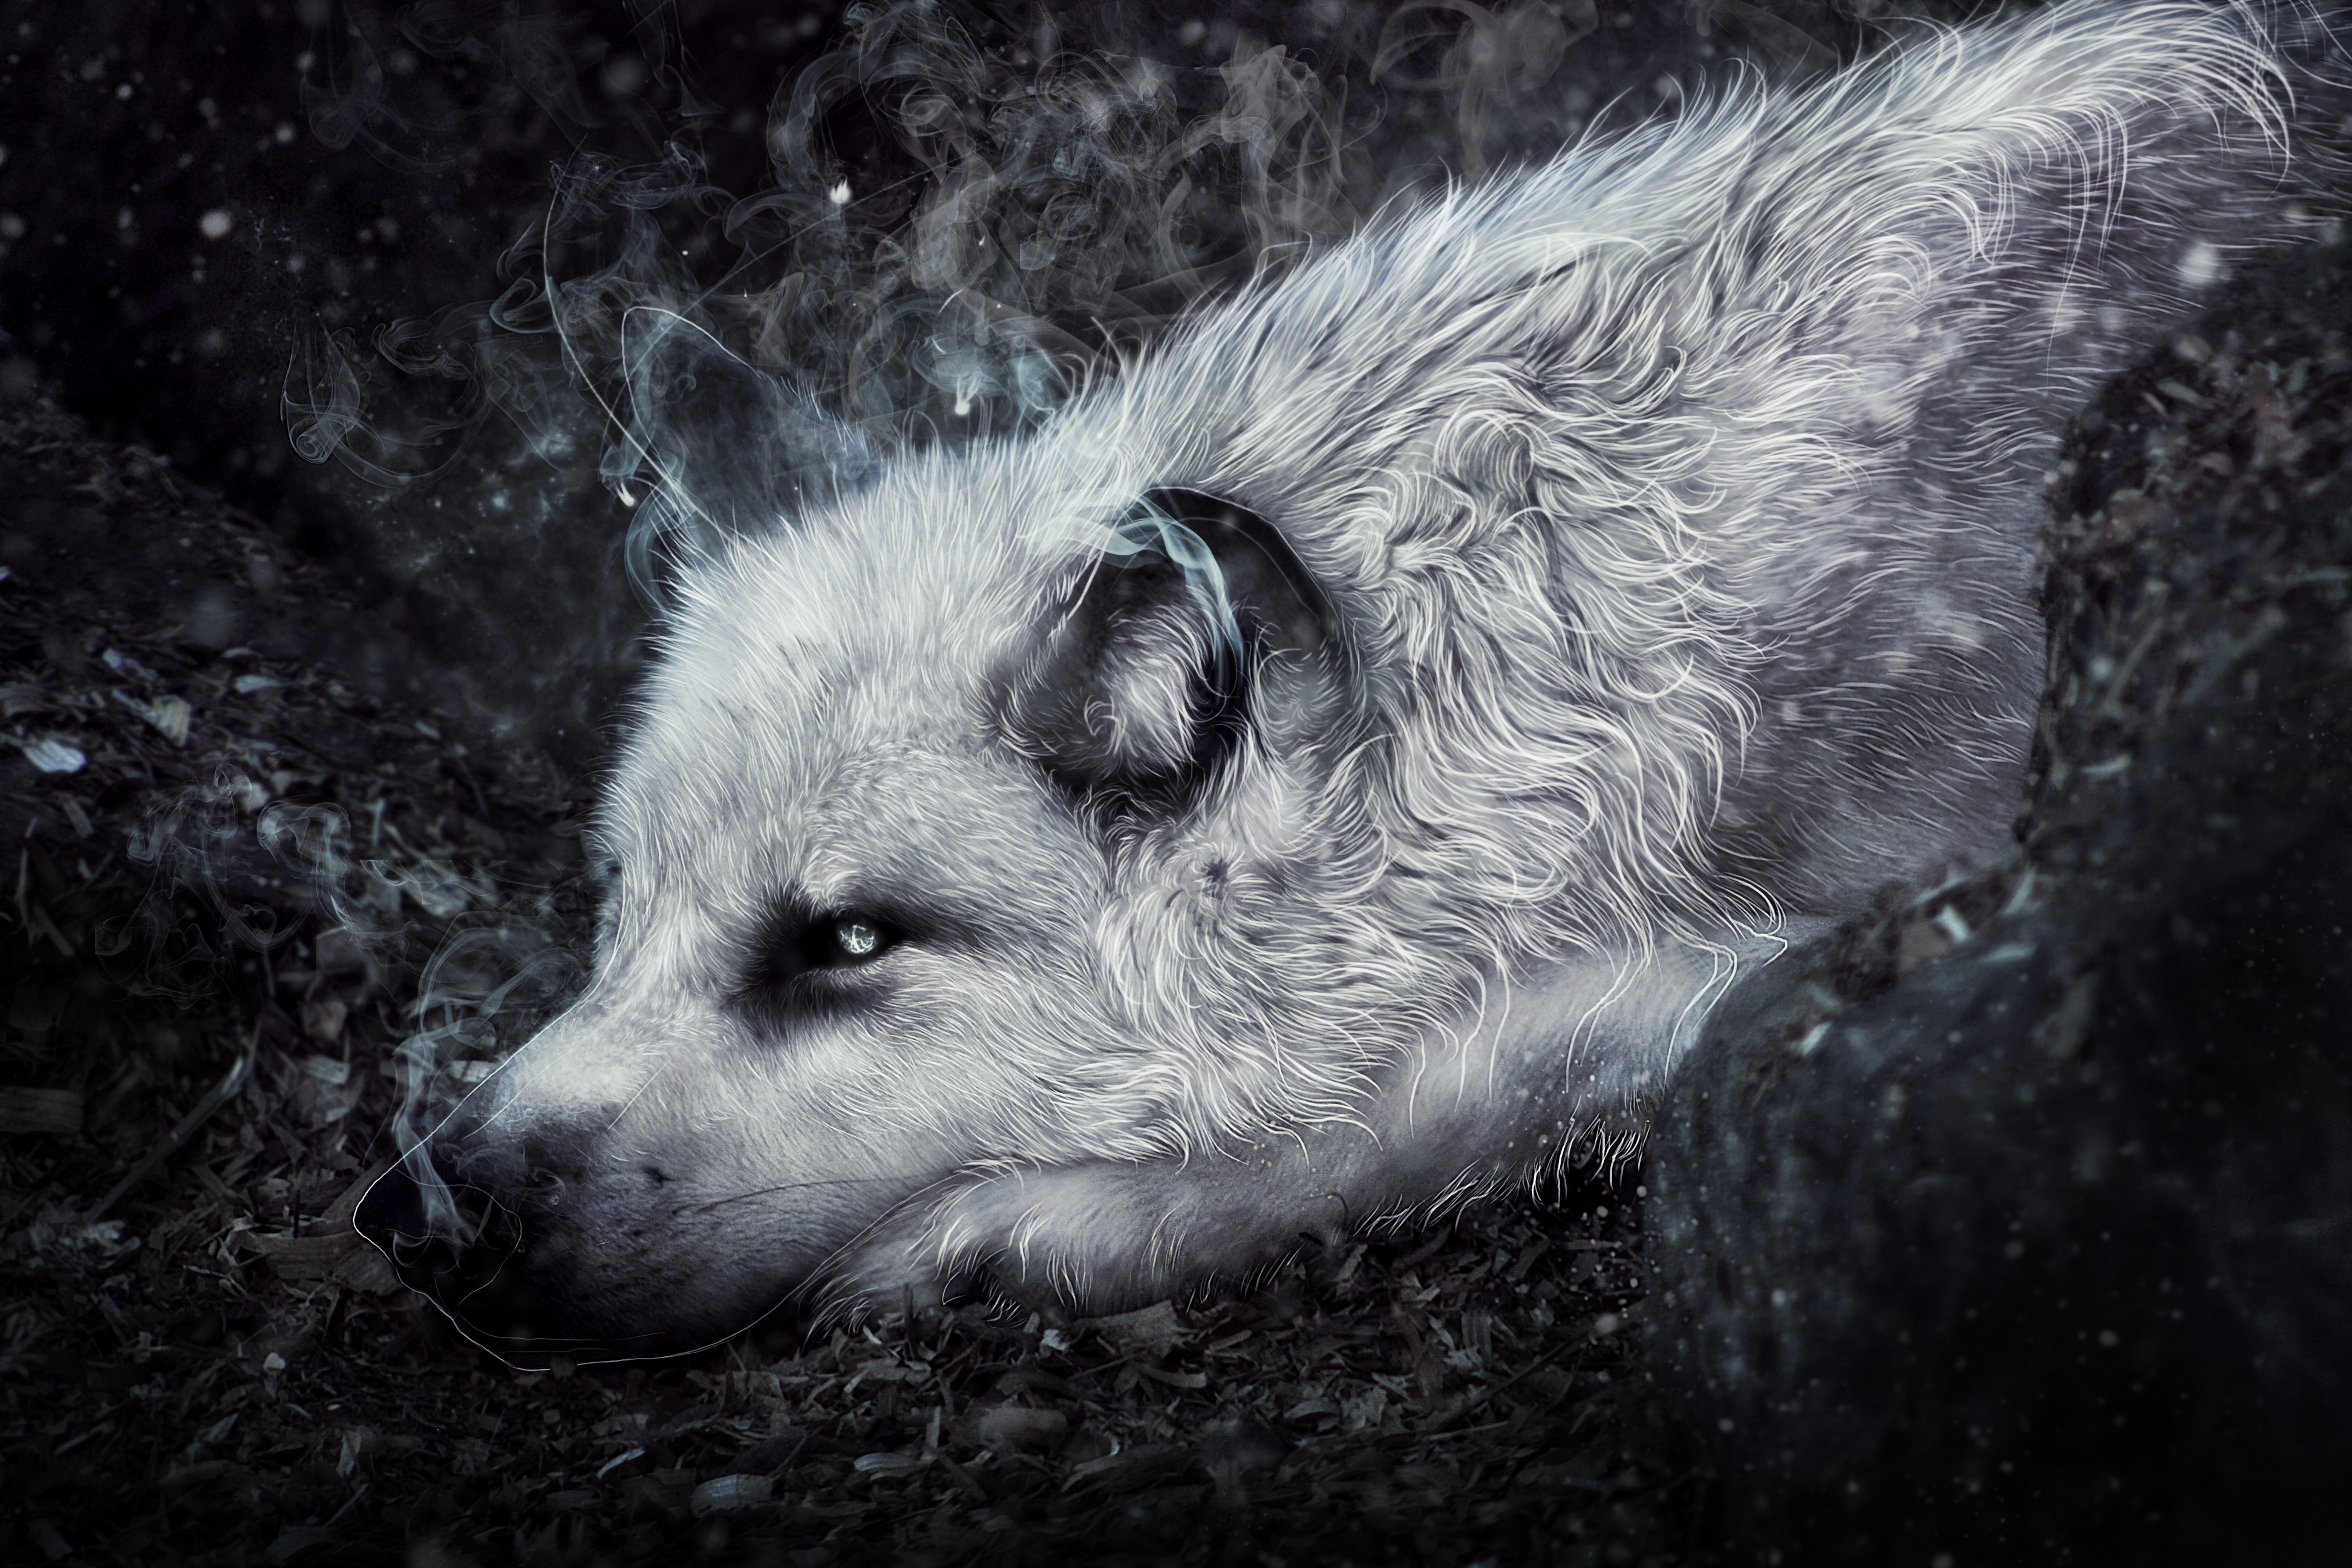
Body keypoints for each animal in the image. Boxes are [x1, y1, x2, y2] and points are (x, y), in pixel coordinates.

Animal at [357, 1, 2345, 1360]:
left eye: (844, 943)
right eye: (618, 911)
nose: (411, 1209)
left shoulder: (1899, 885)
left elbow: (1420, 1105)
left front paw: (995, 1237)